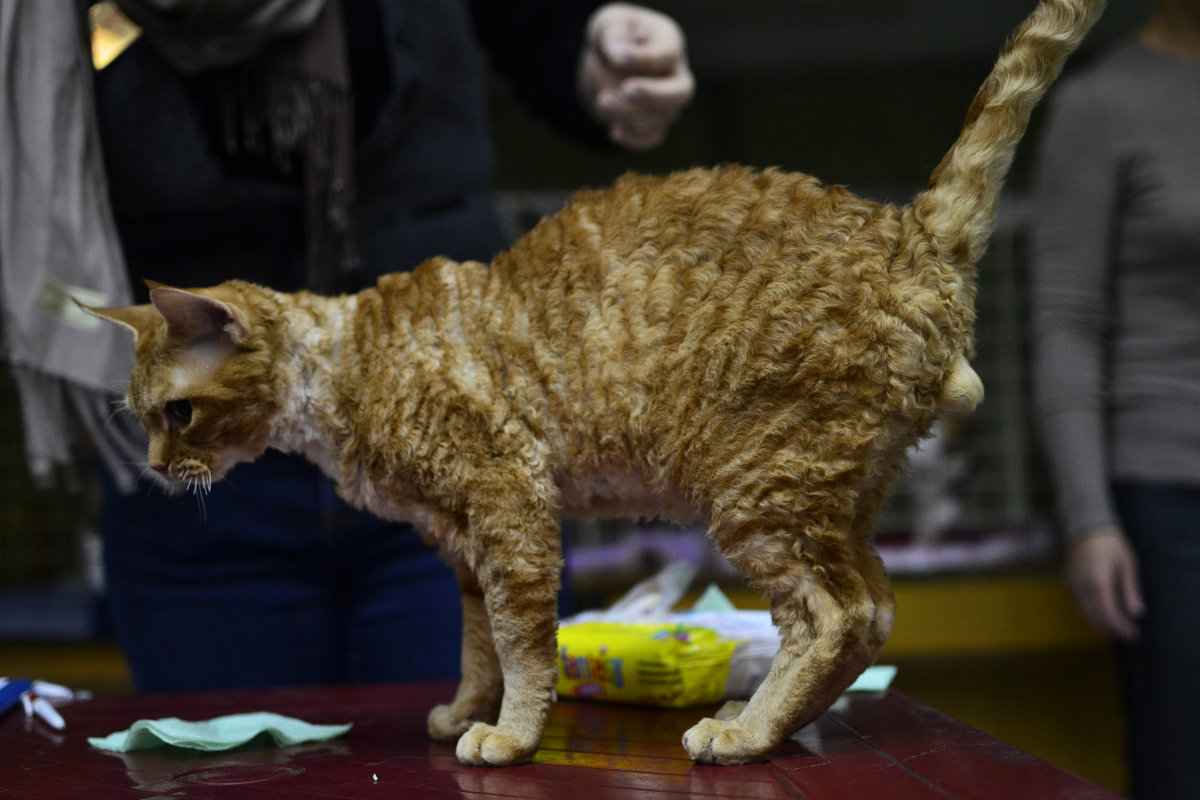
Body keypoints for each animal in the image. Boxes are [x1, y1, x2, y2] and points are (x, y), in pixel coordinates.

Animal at [88, 0, 1104, 767]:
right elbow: (476, 643)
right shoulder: (462, 542)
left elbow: (523, 641)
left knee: (834, 612)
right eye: (139, 420)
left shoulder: (510, 507)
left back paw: (744, 735)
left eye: (178, 414)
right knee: (878, 608)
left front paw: (509, 736)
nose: (154, 471)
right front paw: (467, 711)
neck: (342, 370)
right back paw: (769, 724)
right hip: (831, 491)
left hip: (756, 489)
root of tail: (910, 233)